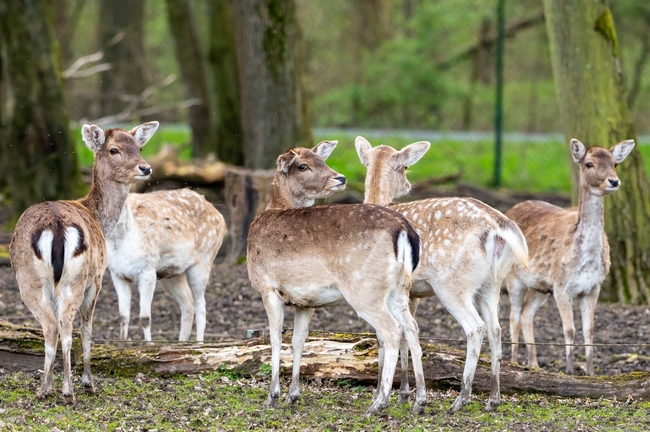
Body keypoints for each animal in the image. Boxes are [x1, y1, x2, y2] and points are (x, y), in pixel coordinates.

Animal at [9, 122, 157, 404]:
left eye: (140, 147)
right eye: (114, 150)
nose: (145, 168)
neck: (99, 218)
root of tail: (55, 226)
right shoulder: (97, 279)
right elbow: (87, 330)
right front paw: (88, 381)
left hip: (32, 280)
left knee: (51, 325)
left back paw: (46, 388)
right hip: (72, 279)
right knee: (64, 325)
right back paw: (67, 391)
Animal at [106, 188, 226, 341]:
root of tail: (221, 218)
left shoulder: (148, 271)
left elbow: (145, 317)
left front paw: (149, 344)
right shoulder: (117, 273)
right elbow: (123, 316)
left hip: (204, 261)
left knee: (201, 307)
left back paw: (199, 343)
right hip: (172, 274)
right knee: (188, 304)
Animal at [246, 141, 426, 415]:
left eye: (322, 160)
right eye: (303, 166)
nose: (340, 178)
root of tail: (405, 231)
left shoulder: (267, 286)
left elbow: (275, 339)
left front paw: (273, 396)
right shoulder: (304, 301)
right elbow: (298, 340)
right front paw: (293, 395)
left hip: (365, 289)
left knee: (392, 330)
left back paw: (378, 403)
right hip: (400, 288)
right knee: (412, 327)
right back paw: (419, 401)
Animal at [355, 136, 529, 412]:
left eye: (405, 167)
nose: (408, 185)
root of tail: (498, 226)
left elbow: (385, 337)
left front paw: (387, 395)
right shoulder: (412, 293)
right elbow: (404, 335)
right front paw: (403, 393)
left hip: (452, 284)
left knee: (475, 327)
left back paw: (462, 398)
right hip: (492, 283)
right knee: (496, 329)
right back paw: (493, 399)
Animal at [505, 138, 634, 376]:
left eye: (615, 163)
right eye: (589, 164)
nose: (614, 181)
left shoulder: (593, 287)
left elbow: (589, 329)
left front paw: (591, 372)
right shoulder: (561, 286)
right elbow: (569, 329)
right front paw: (569, 370)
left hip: (541, 287)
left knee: (527, 314)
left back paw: (534, 364)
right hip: (513, 278)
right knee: (513, 317)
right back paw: (514, 362)